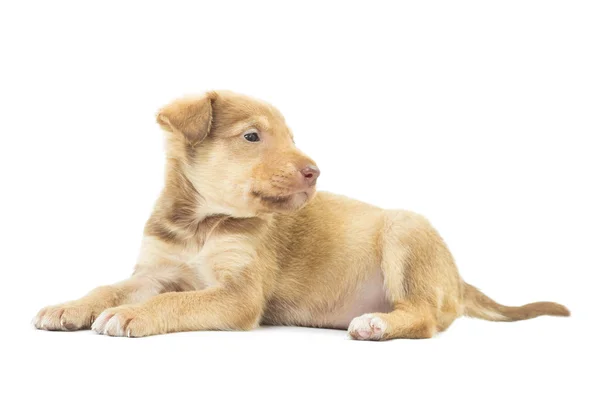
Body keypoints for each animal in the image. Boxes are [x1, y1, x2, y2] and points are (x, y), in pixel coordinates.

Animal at [32, 90, 572, 338]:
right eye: (253, 136)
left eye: (291, 138)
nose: (315, 171)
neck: (201, 224)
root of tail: (457, 278)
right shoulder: (155, 269)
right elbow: (109, 287)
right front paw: (69, 306)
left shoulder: (238, 293)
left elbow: (175, 302)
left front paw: (131, 315)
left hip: (406, 229)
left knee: (425, 317)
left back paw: (378, 324)